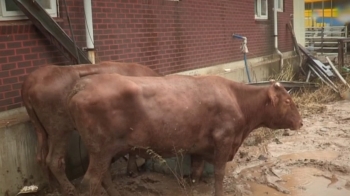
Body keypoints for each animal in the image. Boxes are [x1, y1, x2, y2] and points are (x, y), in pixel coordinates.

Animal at [20, 62, 160, 195]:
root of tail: (31, 80)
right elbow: (133, 149)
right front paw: (133, 171)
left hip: (41, 129)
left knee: (41, 157)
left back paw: (54, 187)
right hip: (59, 128)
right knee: (54, 160)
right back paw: (70, 190)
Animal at [67, 73, 302, 196]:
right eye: (287, 101)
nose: (300, 122)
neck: (236, 99)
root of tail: (85, 83)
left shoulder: (199, 149)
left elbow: (195, 175)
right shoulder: (223, 141)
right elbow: (219, 175)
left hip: (102, 153)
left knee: (103, 178)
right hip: (100, 150)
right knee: (89, 182)